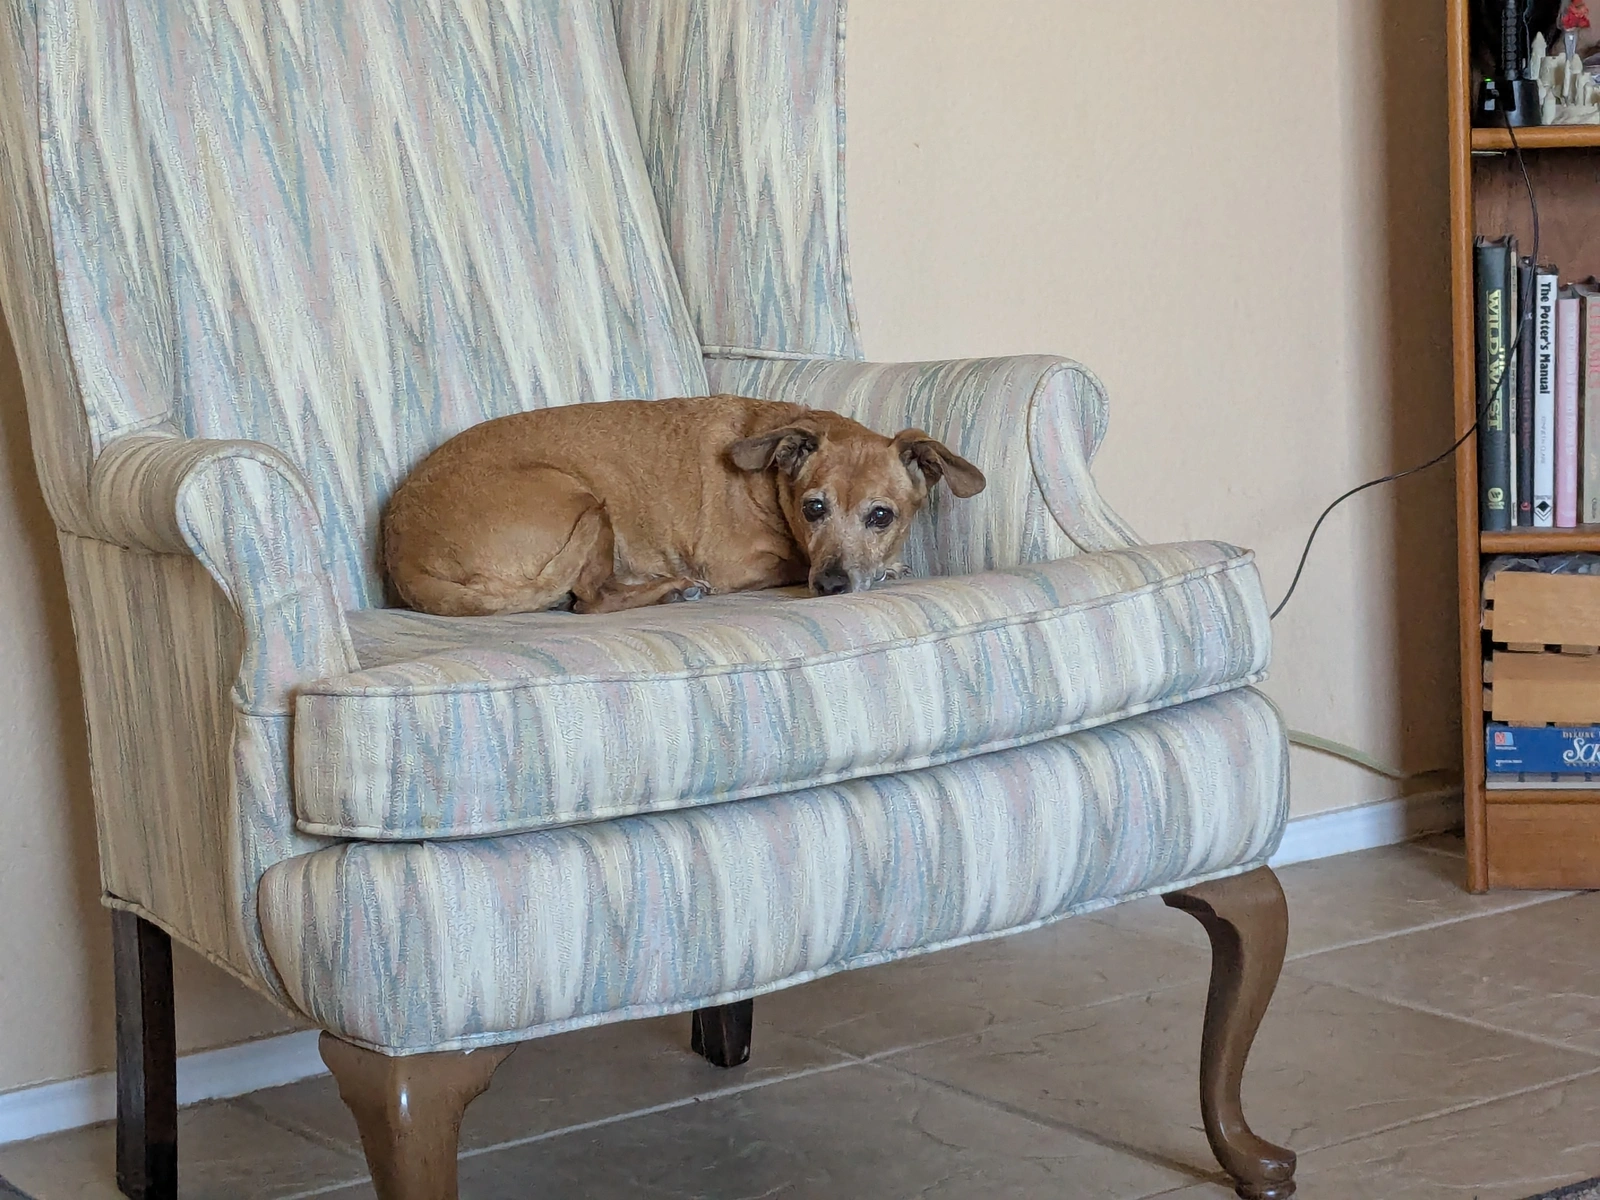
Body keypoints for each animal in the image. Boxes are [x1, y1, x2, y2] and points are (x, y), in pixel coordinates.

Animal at [382, 394, 986, 616]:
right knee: (587, 599)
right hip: (580, 498)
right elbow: (790, 562)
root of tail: (403, 555)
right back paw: (671, 588)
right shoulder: (737, 565)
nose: (832, 585)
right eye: (813, 509)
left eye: (881, 516)